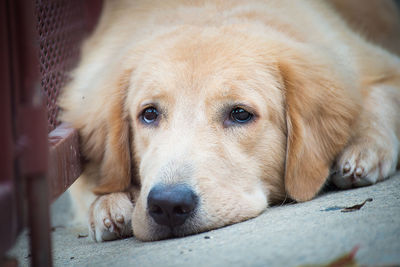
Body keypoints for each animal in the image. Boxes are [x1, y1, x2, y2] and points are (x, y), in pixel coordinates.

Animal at [59, 0, 400, 243]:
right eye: (149, 114)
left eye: (240, 114)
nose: (168, 205)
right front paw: (109, 203)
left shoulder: (375, 63)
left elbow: (380, 101)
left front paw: (364, 150)